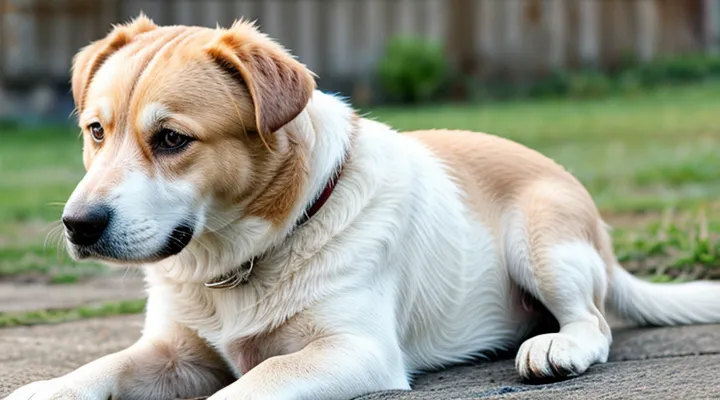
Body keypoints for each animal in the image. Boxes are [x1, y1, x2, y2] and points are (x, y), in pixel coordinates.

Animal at [5, 14, 720, 398]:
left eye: (173, 139)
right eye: (96, 131)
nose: (77, 225)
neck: (242, 259)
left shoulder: (355, 350)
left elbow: (255, 380)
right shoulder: (174, 352)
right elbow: (104, 365)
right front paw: (51, 386)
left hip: (544, 242)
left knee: (594, 324)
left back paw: (557, 347)